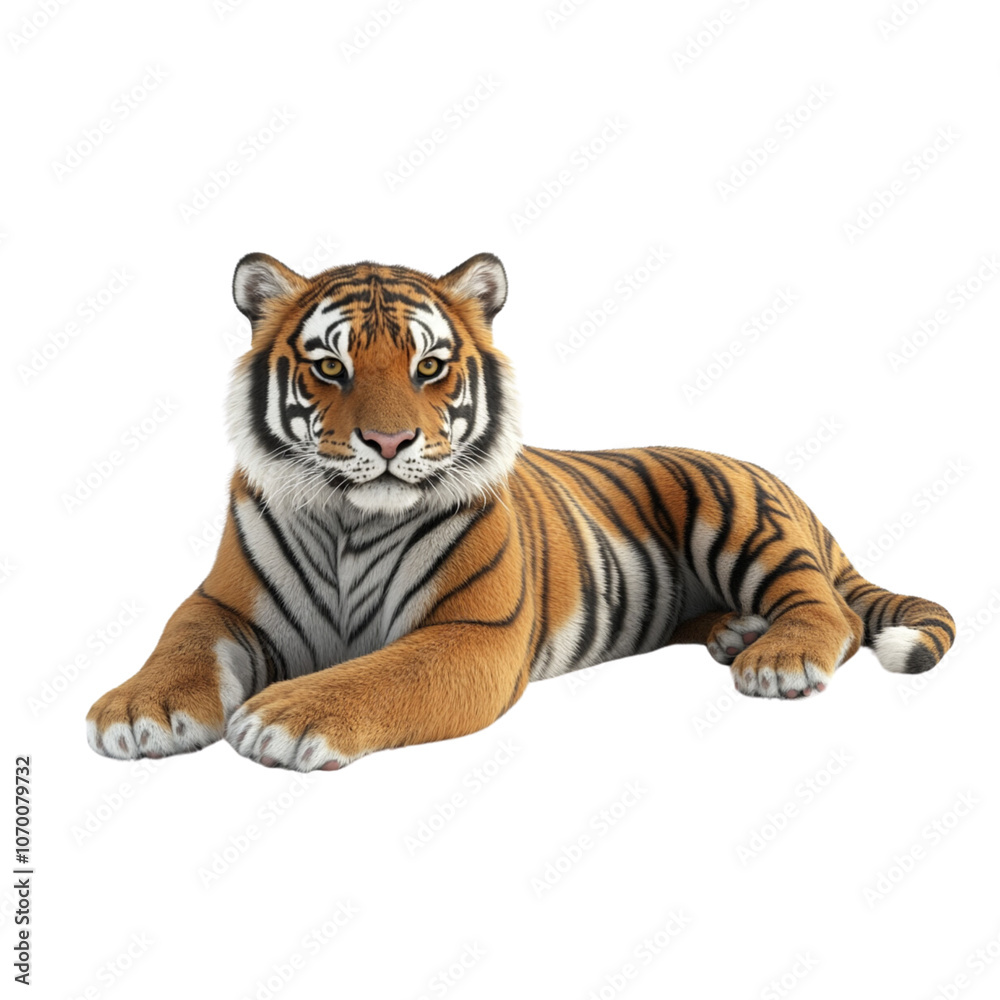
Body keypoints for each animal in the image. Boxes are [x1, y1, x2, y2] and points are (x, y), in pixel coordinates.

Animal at [86, 251, 956, 771]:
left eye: (429, 367)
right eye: (330, 368)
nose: (390, 440)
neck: (350, 522)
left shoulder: (475, 632)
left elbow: (378, 675)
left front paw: (286, 717)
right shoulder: (222, 602)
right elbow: (180, 639)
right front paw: (140, 710)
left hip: (741, 513)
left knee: (833, 610)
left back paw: (777, 658)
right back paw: (739, 633)